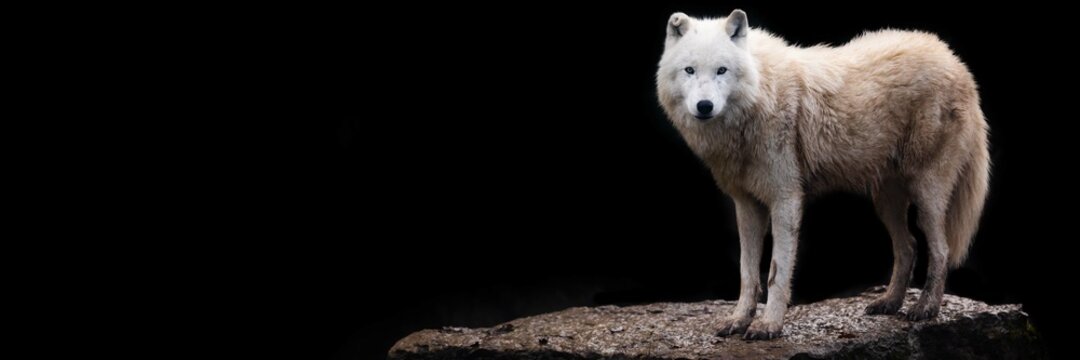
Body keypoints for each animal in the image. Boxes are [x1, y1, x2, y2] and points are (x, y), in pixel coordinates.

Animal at [652, 9, 989, 337]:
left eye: (721, 70)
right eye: (689, 70)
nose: (704, 106)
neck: (761, 96)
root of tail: (954, 60)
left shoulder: (786, 200)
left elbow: (776, 271)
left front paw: (769, 325)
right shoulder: (747, 205)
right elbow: (747, 272)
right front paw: (738, 320)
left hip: (926, 196)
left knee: (941, 250)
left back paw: (926, 308)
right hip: (886, 201)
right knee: (908, 246)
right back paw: (889, 303)